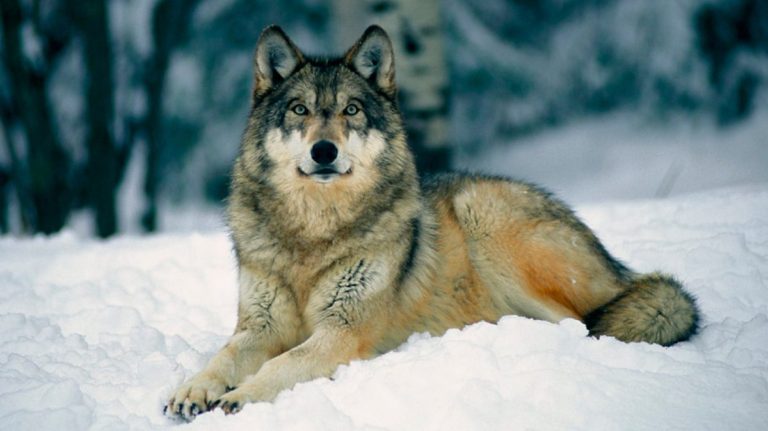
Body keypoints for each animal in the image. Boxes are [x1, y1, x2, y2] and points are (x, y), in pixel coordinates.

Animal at [166, 25, 699, 419]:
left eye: (351, 110)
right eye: (300, 110)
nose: (324, 151)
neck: (314, 233)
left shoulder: (342, 331)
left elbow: (283, 364)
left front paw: (239, 397)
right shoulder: (259, 326)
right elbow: (224, 356)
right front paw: (193, 390)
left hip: (486, 219)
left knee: (581, 324)